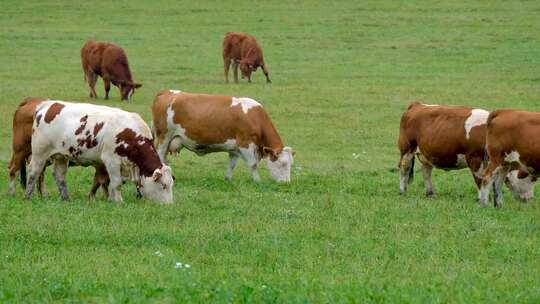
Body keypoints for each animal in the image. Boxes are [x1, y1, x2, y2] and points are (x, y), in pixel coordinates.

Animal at [25, 101, 173, 203]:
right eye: (163, 185)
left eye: (171, 184)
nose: (169, 205)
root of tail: (48, 105)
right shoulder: (111, 160)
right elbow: (117, 182)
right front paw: (119, 201)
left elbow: (112, 183)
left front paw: (111, 199)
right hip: (40, 152)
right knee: (33, 172)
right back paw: (27, 196)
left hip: (61, 156)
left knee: (59, 176)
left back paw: (66, 198)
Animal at [152, 89, 296, 182]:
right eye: (283, 163)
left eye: (291, 164)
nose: (287, 183)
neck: (255, 117)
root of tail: (166, 92)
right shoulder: (245, 144)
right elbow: (253, 164)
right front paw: (258, 181)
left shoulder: (235, 148)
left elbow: (231, 165)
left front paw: (227, 179)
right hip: (164, 137)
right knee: (160, 156)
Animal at [396, 102, 532, 201]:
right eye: (528, 177)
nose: (530, 198)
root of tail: (417, 105)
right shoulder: (475, 159)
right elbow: (480, 180)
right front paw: (482, 198)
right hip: (407, 149)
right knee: (404, 168)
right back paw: (402, 191)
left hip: (427, 154)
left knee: (426, 171)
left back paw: (430, 193)